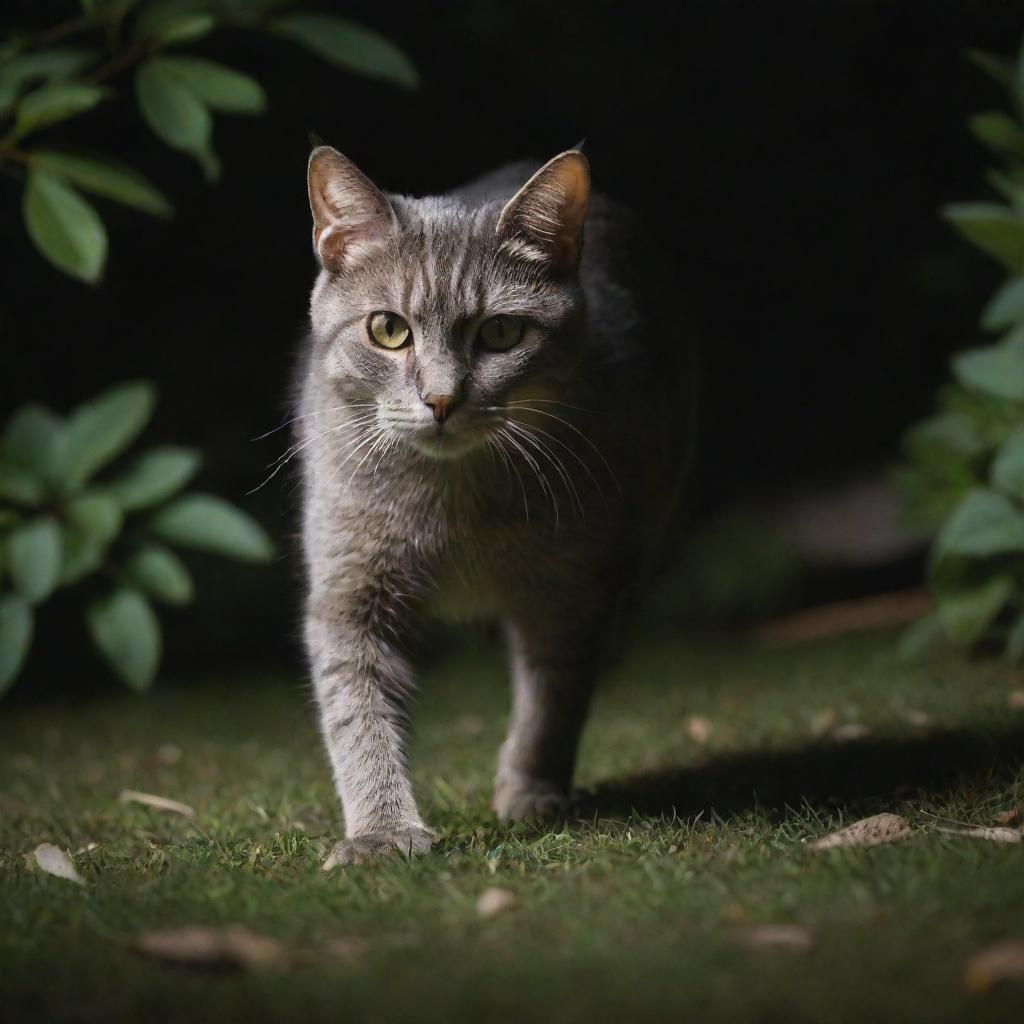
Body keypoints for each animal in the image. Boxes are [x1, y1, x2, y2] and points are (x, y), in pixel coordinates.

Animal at [299, 146, 692, 864]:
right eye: (388, 330)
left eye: (503, 332)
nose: (440, 399)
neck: (458, 500)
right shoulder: (350, 593)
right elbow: (356, 712)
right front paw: (381, 831)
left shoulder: (571, 594)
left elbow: (552, 697)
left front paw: (530, 789)